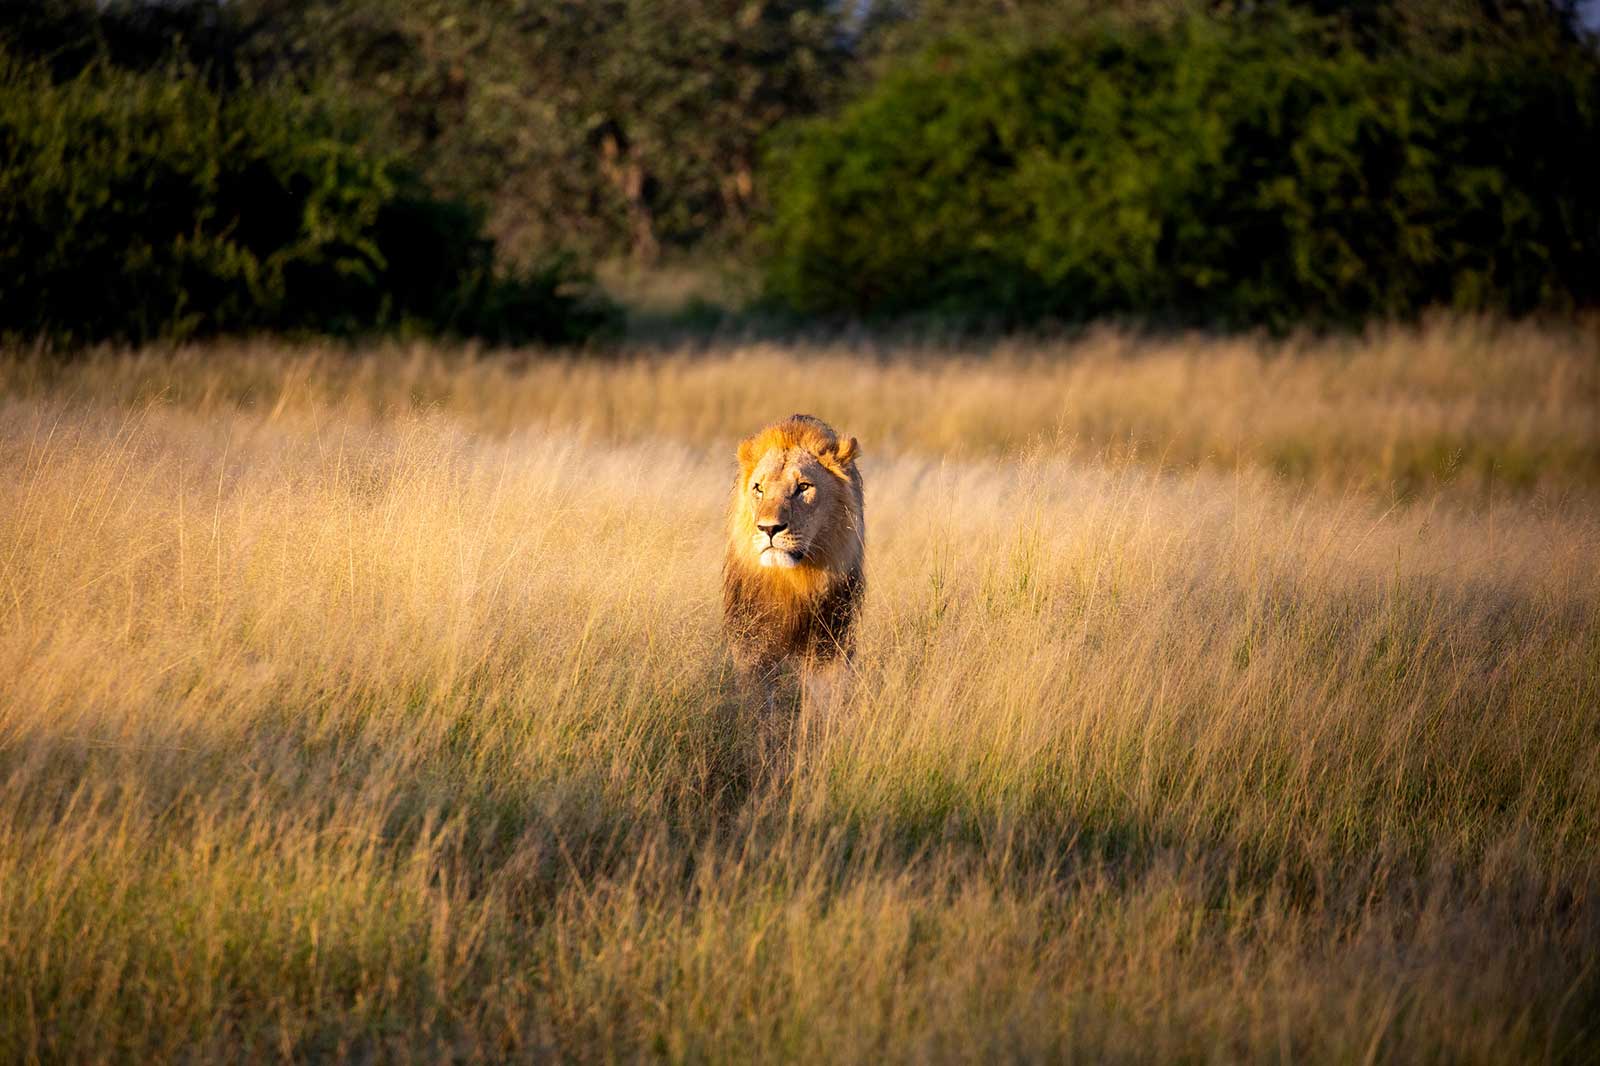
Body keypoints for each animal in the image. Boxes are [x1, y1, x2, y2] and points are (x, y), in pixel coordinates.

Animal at [723, 414, 865, 724]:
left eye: (803, 487)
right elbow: (757, 704)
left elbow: (823, 703)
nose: (769, 528)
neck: (792, 580)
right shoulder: (751, 642)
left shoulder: (828, 642)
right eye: (759, 488)